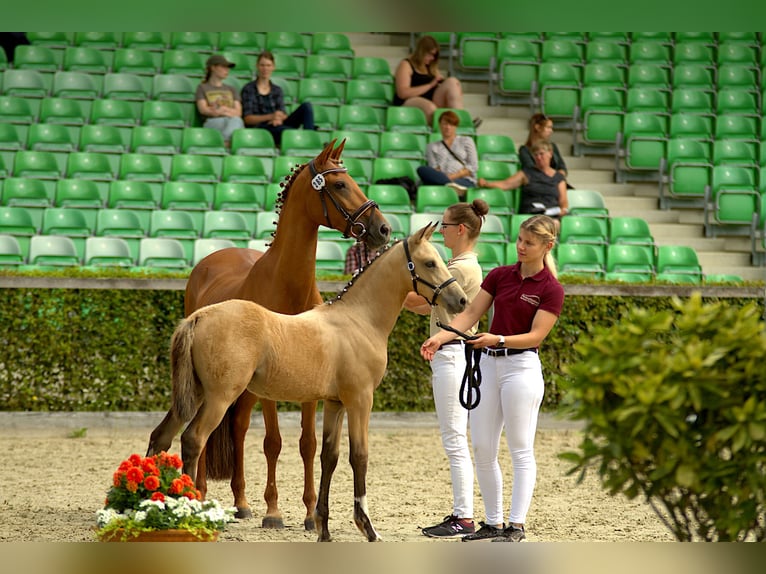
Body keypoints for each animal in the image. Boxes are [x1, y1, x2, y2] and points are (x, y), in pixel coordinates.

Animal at [146, 226, 464, 544]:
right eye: (430, 263)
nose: (460, 300)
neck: (358, 320)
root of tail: (199, 316)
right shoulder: (360, 400)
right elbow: (359, 456)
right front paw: (367, 527)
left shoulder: (335, 404)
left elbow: (328, 457)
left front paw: (323, 528)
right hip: (219, 399)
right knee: (193, 439)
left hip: (195, 396)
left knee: (161, 436)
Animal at [179, 140, 390, 532]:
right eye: (340, 184)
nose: (382, 229)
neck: (289, 289)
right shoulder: (272, 393)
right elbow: (273, 442)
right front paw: (274, 511)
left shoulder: (313, 387)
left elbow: (308, 443)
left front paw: (309, 514)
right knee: (224, 431)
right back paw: (206, 496)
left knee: (236, 428)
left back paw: (241, 502)